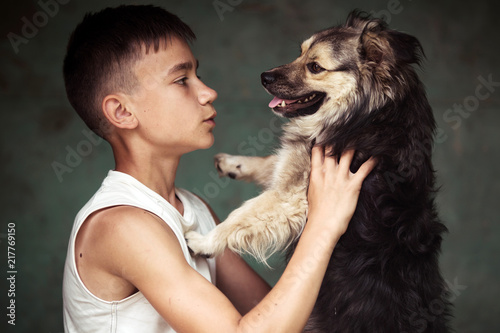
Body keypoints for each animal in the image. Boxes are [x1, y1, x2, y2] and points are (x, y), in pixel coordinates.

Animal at [187, 9, 450, 330]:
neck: (367, 116)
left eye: (315, 67)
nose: (264, 77)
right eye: (299, 53)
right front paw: (233, 163)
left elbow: (241, 215)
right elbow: (273, 163)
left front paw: (205, 242)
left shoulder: (293, 196)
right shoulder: (299, 166)